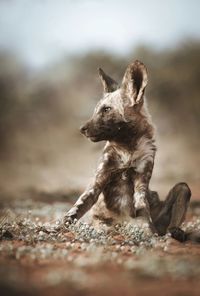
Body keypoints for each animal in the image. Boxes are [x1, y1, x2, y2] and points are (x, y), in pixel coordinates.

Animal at [63, 60, 194, 243]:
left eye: (106, 109)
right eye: (96, 110)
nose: (82, 129)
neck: (127, 148)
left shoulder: (141, 182)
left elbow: (143, 210)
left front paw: (149, 234)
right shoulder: (98, 182)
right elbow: (76, 208)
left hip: (182, 189)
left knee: (176, 202)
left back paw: (175, 231)